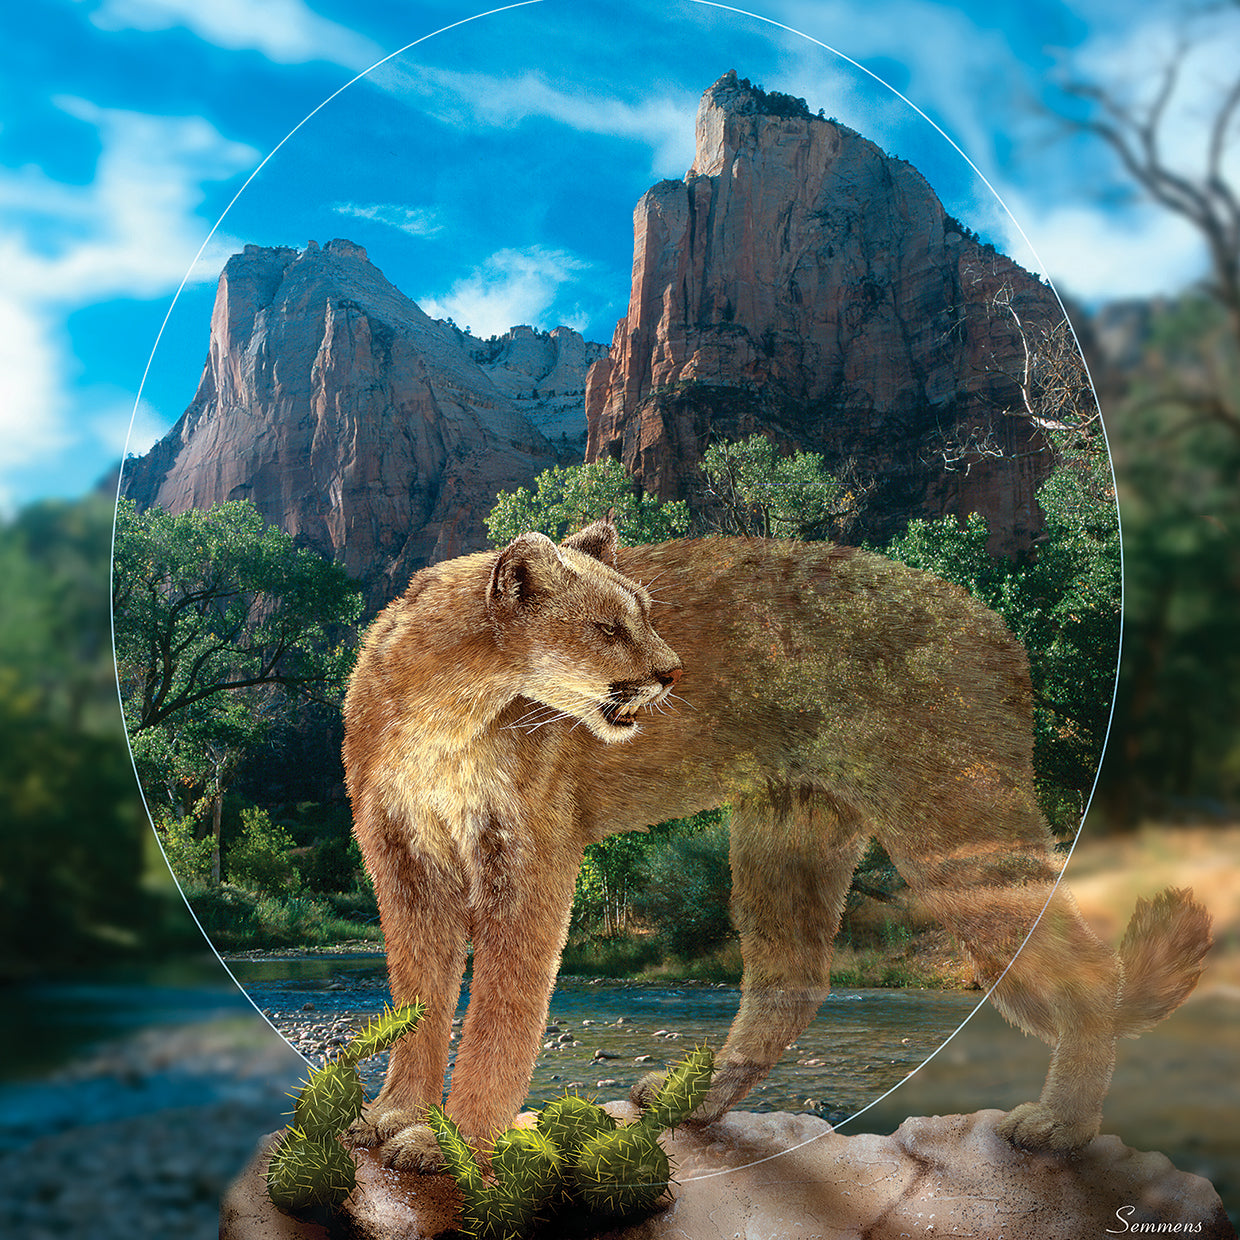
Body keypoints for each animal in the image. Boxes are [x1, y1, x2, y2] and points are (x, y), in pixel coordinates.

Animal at [342, 518, 1211, 1171]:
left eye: (648, 613)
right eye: (607, 627)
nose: (673, 671)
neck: (451, 709)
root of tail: (995, 625)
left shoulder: (528, 854)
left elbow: (501, 1010)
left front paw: (453, 1140)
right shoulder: (401, 857)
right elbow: (420, 993)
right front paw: (393, 1114)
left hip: (951, 819)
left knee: (1084, 964)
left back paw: (1060, 1127)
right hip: (785, 833)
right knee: (793, 976)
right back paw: (693, 1101)